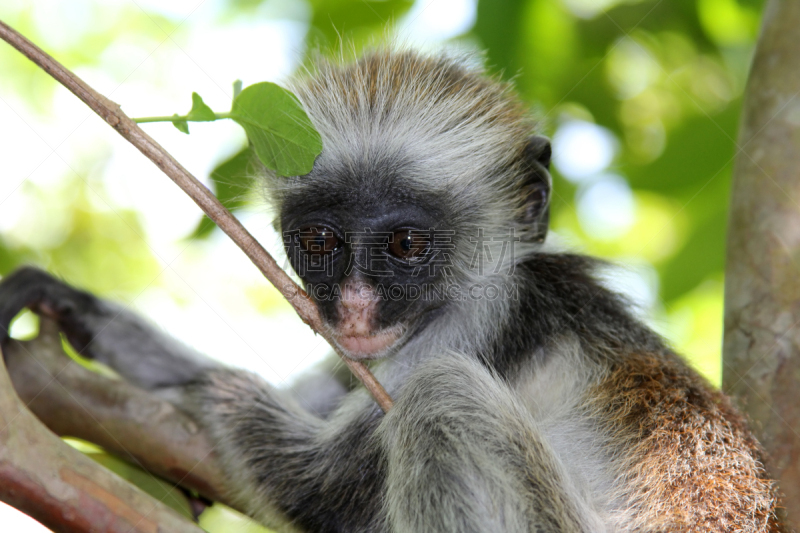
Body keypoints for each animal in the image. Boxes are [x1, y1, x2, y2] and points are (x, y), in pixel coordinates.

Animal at [0, 51, 784, 532]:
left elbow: (317, 487)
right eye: (320, 242)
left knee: (443, 395)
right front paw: (82, 312)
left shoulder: (475, 325)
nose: (350, 307)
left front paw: (197, 393)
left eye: (405, 245)